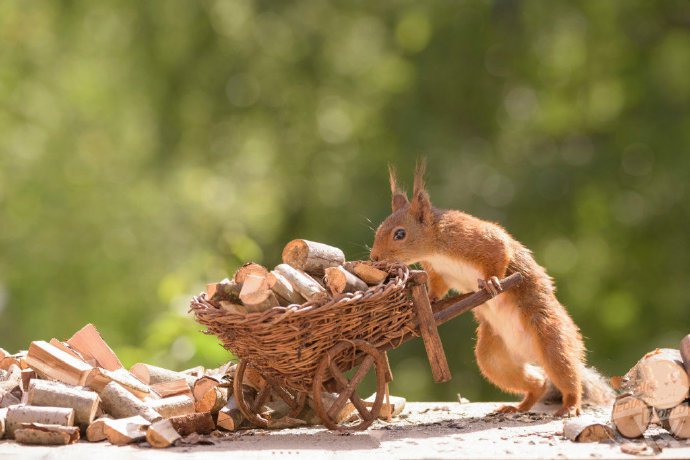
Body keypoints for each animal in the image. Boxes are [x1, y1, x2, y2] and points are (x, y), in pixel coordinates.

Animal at [368, 162, 612, 416]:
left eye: (400, 234)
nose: (374, 257)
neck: (435, 248)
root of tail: (530, 354)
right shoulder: (437, 272)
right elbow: (438, 287)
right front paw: (432, 301)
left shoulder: (473, 237)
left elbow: (499, 251)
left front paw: (492, 282)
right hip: (494, 360)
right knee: (538, 383)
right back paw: (517, 407)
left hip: (551, 338)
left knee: (566, 374)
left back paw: (570, 405)